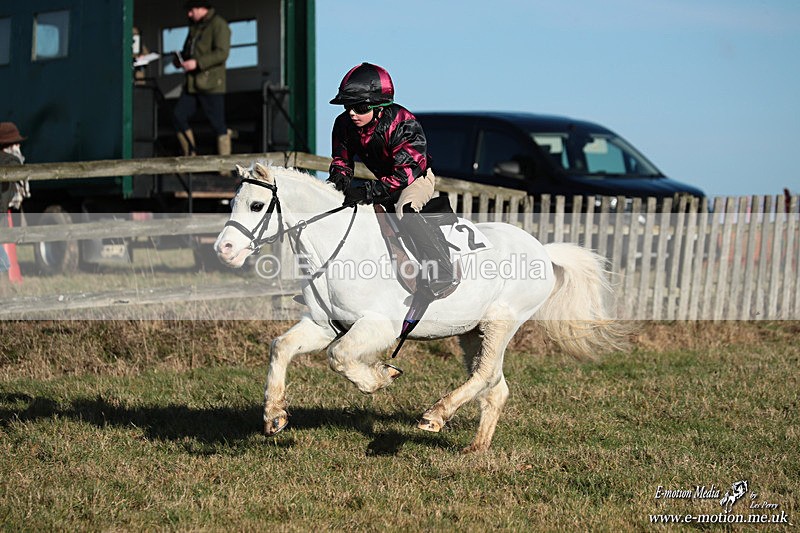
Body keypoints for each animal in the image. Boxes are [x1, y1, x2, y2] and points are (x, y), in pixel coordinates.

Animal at [215, 162, 627, 452]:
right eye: (232, 203)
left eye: (256, 205)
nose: (224, 250)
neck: (339, 247)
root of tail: (543, 249)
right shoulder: (322, 324)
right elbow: (281, 347)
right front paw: (274, 416)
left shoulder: (378, 326)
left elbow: (339, 357)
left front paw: (382, 376)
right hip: (471, 332)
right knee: (494, 385)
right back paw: (476, 448)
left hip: (501, 322)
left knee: (484, 376)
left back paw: (435, 416)